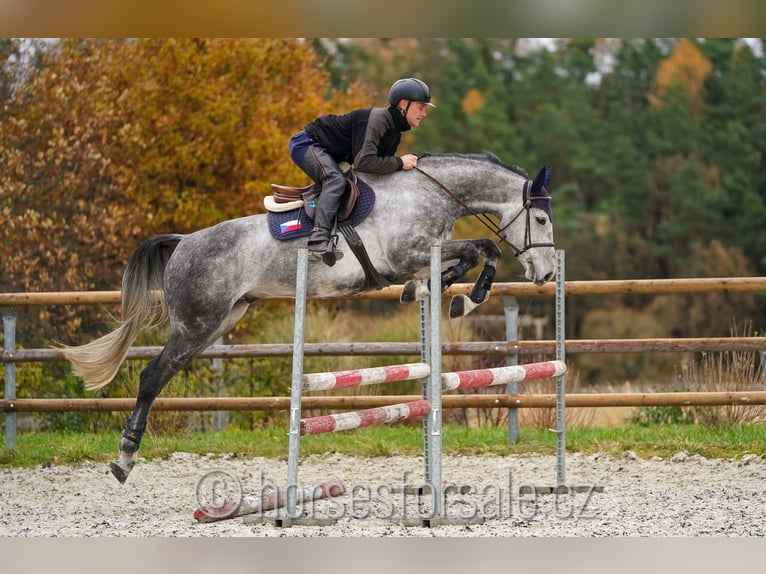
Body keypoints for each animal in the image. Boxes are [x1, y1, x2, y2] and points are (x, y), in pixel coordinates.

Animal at [63, 151, 560, 484]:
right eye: (540, 218)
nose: (547, 273)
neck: (430, 193)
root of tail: (183, 242)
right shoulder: (407, 255)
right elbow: (482, 249)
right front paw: (464, 297)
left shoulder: (424, 256)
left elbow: (476, 254)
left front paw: (448, 296)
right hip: (196, 323)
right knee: (151, 376)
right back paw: (123, 459)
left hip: (220, 321)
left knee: (161, 374)